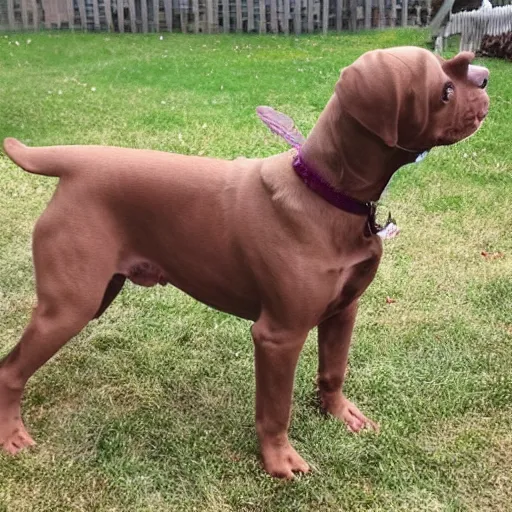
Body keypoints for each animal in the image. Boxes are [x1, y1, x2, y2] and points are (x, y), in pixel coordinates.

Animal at [0, 46, 488, 478]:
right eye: (445, 89)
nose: (485, 78)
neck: (326, 192)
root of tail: (72, 161)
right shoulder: (278, 335)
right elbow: (275, 410)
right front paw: (279, 461)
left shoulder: (344, 310)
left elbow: (333, 371)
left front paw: (338, 413)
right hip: (71, 305)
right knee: (10, 370)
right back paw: (12, 435)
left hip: (98, 292)